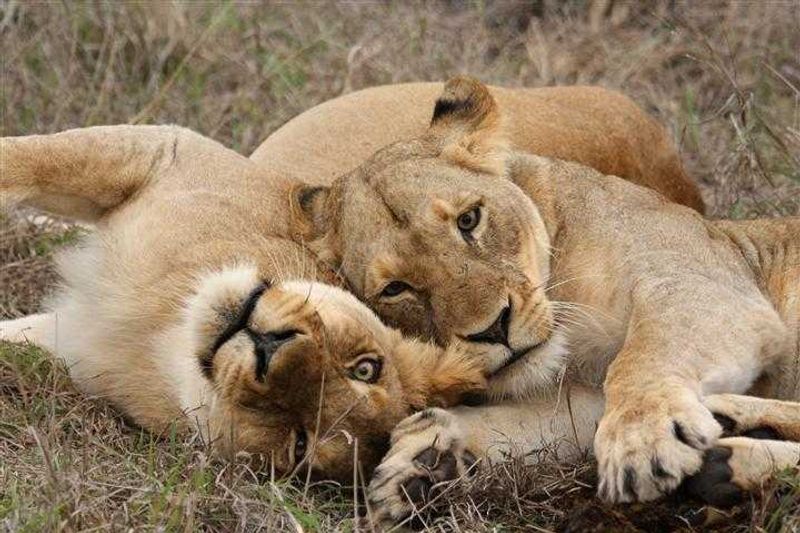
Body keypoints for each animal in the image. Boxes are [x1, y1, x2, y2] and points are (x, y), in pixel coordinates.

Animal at [286, 77, 800, 522]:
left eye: (469, 219)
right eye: (395, 288)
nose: (493, 328)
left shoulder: (703, 282)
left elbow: (643, 357)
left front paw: (640, 439)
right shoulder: (583, 395)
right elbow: (532, 422)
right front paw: (427, 459)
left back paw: (733, 450)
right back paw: (732, 444)